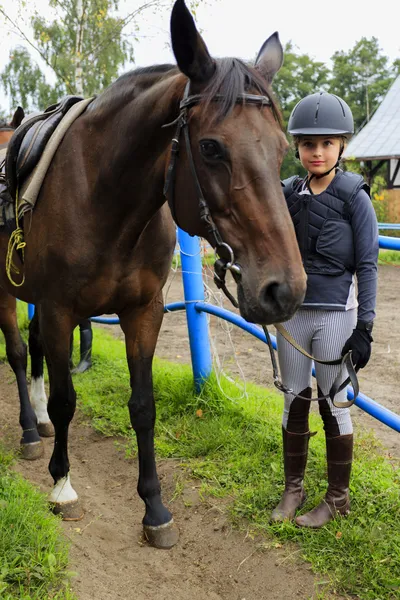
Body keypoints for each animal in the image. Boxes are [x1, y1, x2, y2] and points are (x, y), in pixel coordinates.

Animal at [0, 0, 306, 552]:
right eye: (210, 148)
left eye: (280, 148)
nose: (285, 290)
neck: (104, 199)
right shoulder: (59, 312)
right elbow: (66, 399)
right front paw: (63, 486)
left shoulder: (143, 313)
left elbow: (143, 406)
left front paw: (155, 508)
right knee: (16, 352)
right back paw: (31, 431)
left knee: (29, 351)